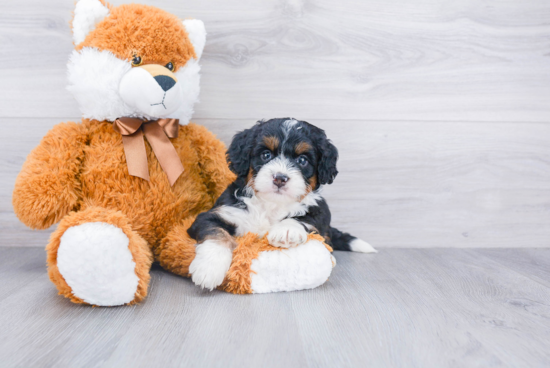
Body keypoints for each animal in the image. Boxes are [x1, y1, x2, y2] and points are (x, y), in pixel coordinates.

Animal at [188, 118, 378, 290]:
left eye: (302, 160)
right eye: (266, 155)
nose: (280, 178)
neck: (271, 204)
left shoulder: (320, 210)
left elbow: (305, 218)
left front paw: (286, 230)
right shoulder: (217, 213)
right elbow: (216, 233)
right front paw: (209, 269)